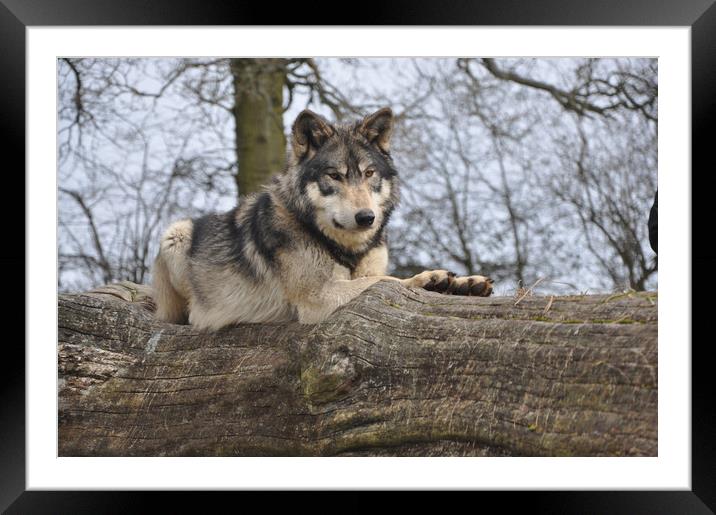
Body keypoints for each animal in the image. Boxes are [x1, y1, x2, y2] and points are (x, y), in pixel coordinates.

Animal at [152, 108, 492, 330]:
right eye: (335, 176)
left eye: (369, 173)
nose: (366, 217)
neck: (346, 248)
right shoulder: (316, 297)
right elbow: (384, 282)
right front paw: (427, 279)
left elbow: (379, 277)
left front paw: (462, 283)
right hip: (175, 233)